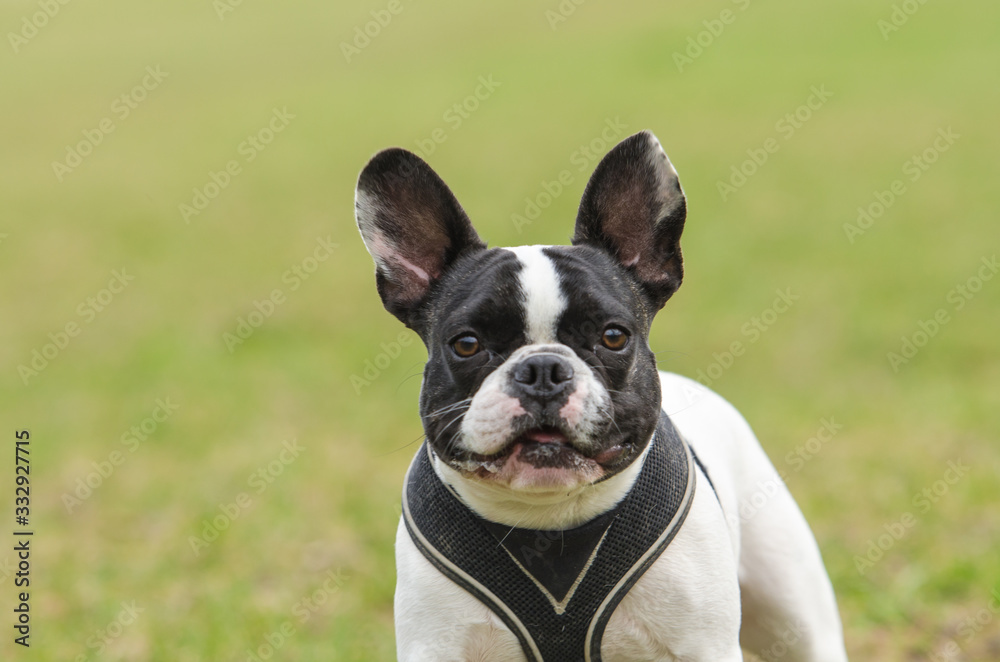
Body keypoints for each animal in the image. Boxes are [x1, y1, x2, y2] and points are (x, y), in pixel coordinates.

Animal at [356, 131, 848, 662]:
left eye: (613, 337)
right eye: (466, 344)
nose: (543, 370)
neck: (549, 520)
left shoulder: (703, 645)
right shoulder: (437, 644)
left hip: (794, 611)